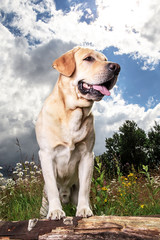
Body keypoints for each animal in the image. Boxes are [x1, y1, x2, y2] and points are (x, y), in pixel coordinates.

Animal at [35, 46, 120, 219]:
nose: (117, 67)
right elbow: (52, 187)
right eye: (88, 58)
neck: (73, 112)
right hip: (43, 202)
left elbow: (85, 188)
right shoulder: (46, 154)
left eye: (105, 59)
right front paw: (56, 211)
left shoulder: (87, 155)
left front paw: (84, 209)